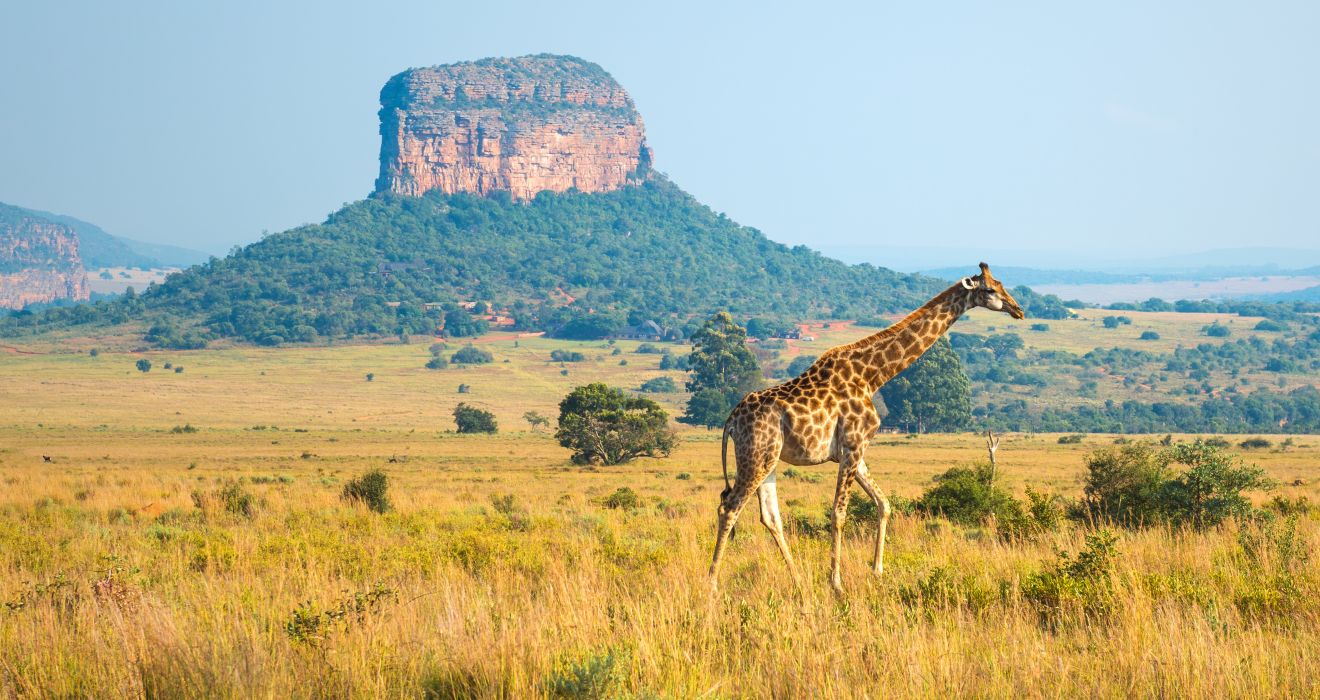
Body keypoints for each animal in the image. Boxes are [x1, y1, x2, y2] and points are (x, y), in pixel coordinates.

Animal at [708, 263, 1025, 594]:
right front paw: (836, 583)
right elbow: (839, 513)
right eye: (989, 289)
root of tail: (731, 420)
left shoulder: (856, 451)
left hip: (768, 459)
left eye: (1001, 284)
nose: (1018, 309)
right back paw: (712, 583)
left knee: (770, 517)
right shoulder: (852, 446)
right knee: (729, 508)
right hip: (756, 456)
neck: (873, 376)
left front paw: (877, 570)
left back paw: (798, 580)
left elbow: (883, 504)